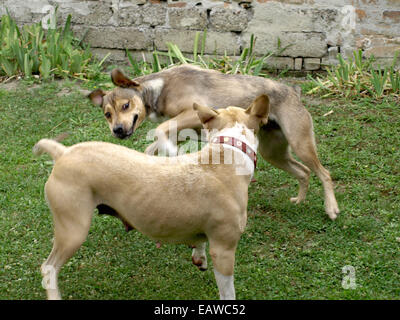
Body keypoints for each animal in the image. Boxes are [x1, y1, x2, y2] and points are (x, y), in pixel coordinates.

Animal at [35, 94, 272, 298]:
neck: (228, 150)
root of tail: (63, 153)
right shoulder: (224, 251)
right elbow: (228, 291)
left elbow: (200, 243)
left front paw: (199, 257)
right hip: (74, 230)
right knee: (49, 268)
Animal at [88, 65, 340, 220]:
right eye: (107, 114)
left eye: (126, 105)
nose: (117, 131)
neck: (160, 89)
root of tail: (294, 92)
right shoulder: (183, 128)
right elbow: (155, 143)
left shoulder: (193, 111)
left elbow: (160, 131)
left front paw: (170, 152)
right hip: (274, 153)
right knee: (304, 172)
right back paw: (299, 200)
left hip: (300, 143)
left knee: (324, 173)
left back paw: (331, 208)